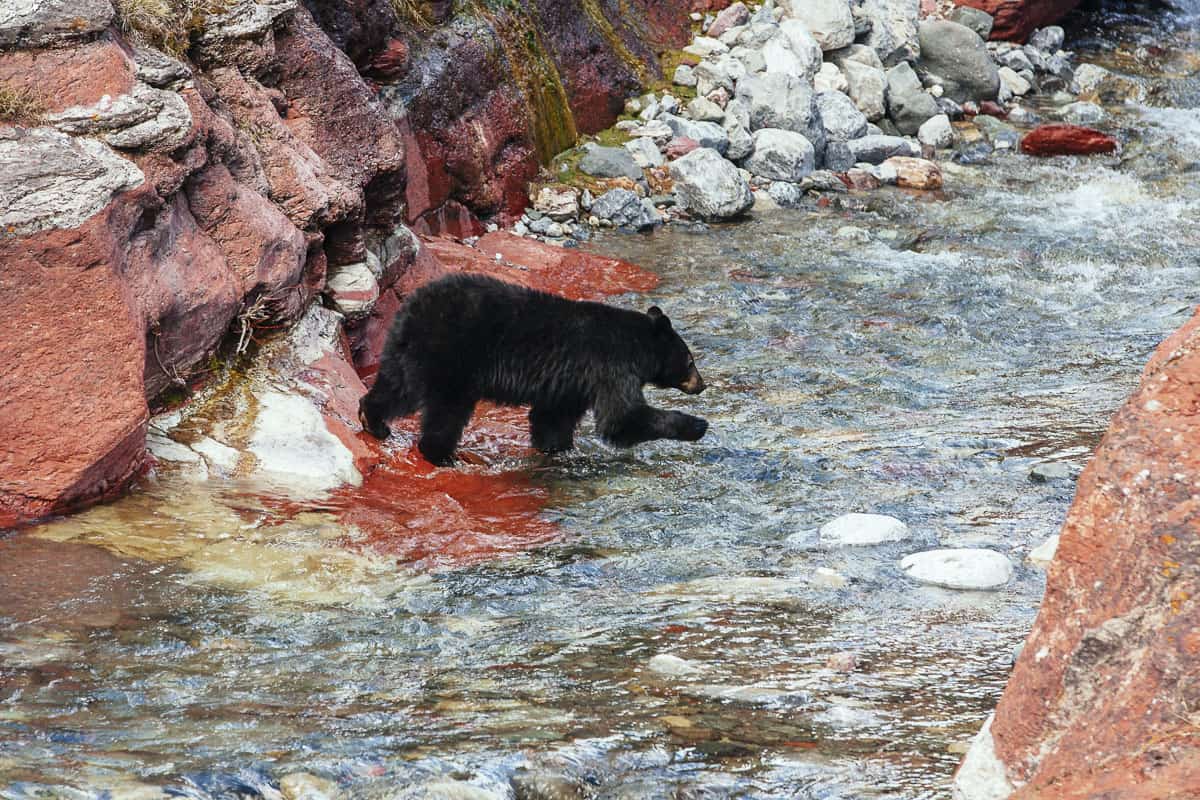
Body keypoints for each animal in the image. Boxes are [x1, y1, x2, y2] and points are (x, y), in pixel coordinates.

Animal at [360, 273, 705, 465]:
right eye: (690, 360)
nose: (701, 384)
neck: (636, 345)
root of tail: (413, 304)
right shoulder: (611, 366)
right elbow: (621, 418)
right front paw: (697, 425)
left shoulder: (571, 383)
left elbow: (551, 418)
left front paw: (557, 449)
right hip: (451, 357)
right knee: (446, 411)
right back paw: (441, 455)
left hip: (406, 349)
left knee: (396, 387)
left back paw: (373, 420)